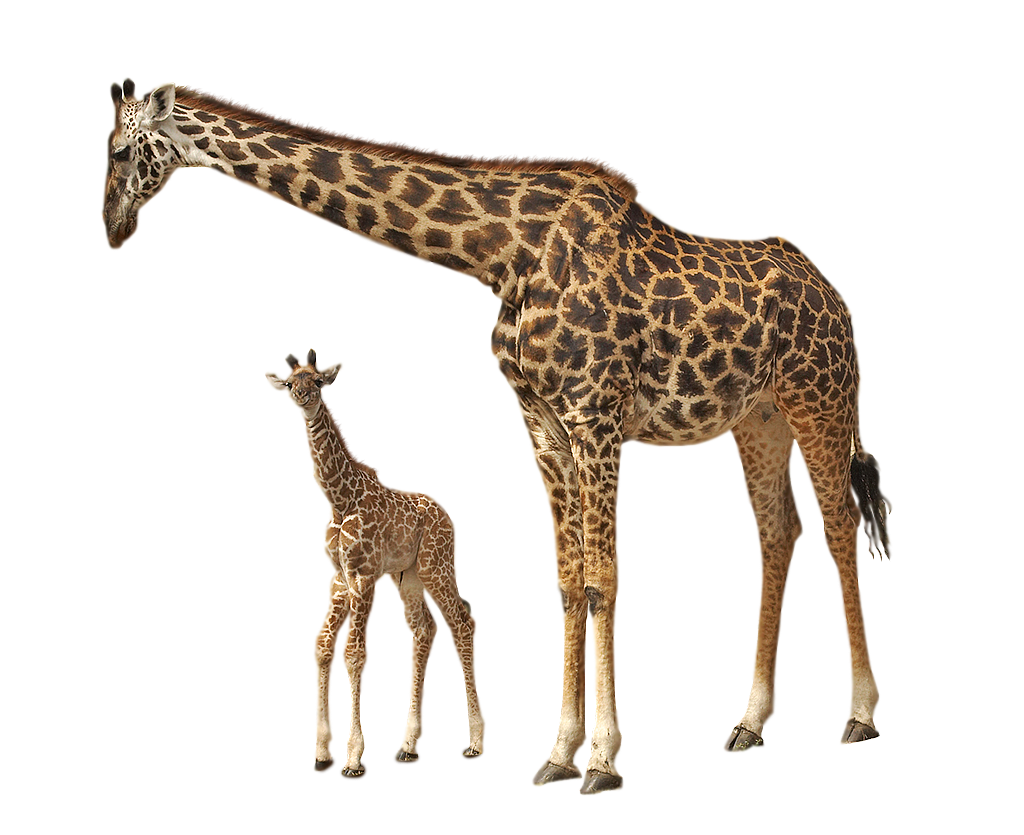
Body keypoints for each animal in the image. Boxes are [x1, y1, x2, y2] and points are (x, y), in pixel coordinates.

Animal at [265, 350, 485, 777]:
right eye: (290, 383)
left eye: (319, 381)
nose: (303, 397)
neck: (340, 498)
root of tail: (450, 519)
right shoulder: (339, 576)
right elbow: (323, 646)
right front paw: (323, 754)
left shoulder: (364, 575)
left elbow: (354, 656)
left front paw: (353, 759)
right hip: (409, 576)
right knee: (424, 632)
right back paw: (409, 747)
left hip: (435, 567)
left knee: (462, 623)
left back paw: (474, 742)